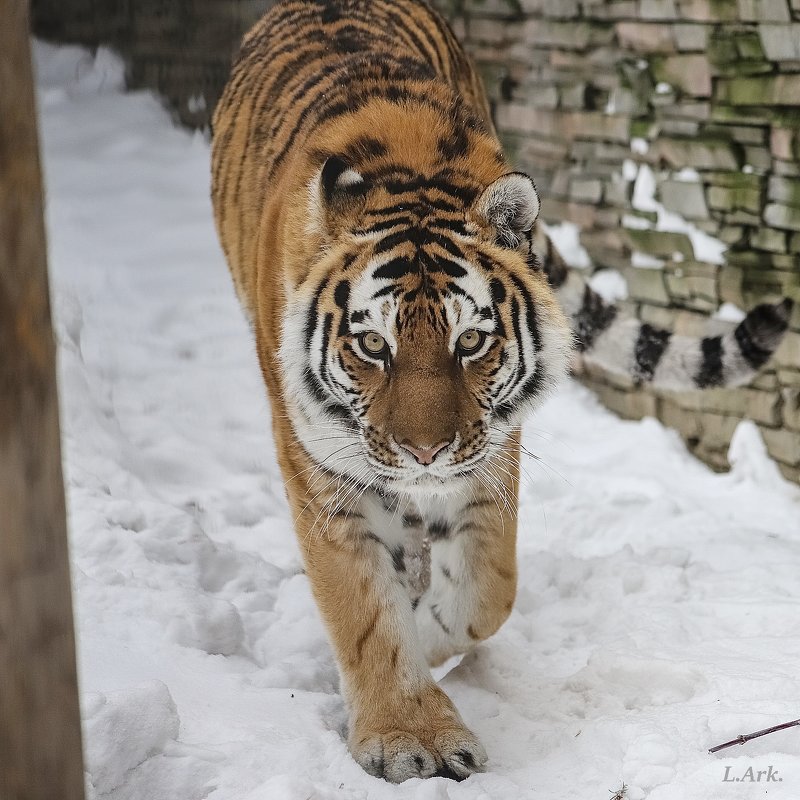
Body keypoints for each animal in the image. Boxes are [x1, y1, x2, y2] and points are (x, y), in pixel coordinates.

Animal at [209, 0, 792, 780]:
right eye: (372, 346)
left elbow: (489, 585)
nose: (424, 454)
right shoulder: (321, 465)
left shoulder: (491, 447)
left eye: (471, 342)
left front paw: (430, 634)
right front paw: (409, 736)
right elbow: (362, 607)